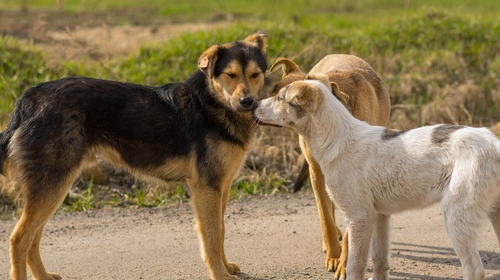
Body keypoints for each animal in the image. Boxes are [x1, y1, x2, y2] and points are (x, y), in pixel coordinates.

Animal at [0, 31, 270, 280]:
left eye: (255, 74)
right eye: (231, 75)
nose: (247, 101)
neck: (212, 103)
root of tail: (30, 100)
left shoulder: (221, 186)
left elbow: (221, 231)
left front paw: (226, 267)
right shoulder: (207, 188)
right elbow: (212, 238)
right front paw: (220, 274)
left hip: (52, 188)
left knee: (33, 238)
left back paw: (43, 276)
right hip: (52, 184)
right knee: (19, 239)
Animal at [254, 74, 500, 280]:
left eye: (280, 97)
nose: (253, 103)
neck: (338, 138)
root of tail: (494, 143)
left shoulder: (360, 217)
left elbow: (355, 266)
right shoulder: (381, 215)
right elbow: (380, 260)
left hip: (456, 215)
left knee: (475, 270)